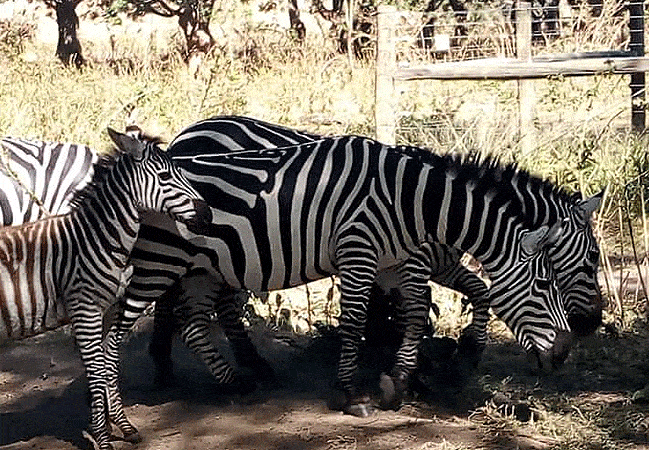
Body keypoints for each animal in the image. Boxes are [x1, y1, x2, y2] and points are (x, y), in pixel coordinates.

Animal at [0, 127, 209, 450]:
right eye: (164, 176)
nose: (208, 214)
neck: (98, 238)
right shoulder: (85, 310)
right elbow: (97, 371)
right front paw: (102, 437)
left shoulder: (109, 309)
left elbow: (109, 365)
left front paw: (122, 426)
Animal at [102, 132, 604, 424]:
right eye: (547, 284)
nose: (573, 342)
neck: (415, 202)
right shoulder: (361, 253)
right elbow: (359, 321)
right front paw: (351, 393)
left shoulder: (396, 263)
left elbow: (421, 312)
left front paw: (401, 380)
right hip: (166, 260)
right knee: (136, 320)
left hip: (204, 266)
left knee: (192, 320)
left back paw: (236, 381)